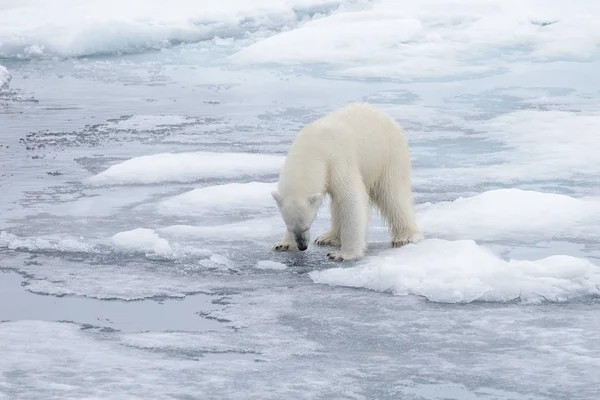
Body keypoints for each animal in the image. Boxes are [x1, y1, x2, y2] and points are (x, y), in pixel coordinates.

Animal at [272, 101, 422, 260]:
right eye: (290, 227)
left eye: (307, 225)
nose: (302, 246)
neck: (311, 149)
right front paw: (283, 244)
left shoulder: (337, 160)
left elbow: (350, 200)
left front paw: (342, 254)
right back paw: (328, 237)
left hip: (388, 156)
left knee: (393, 196)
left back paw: (405, 237)